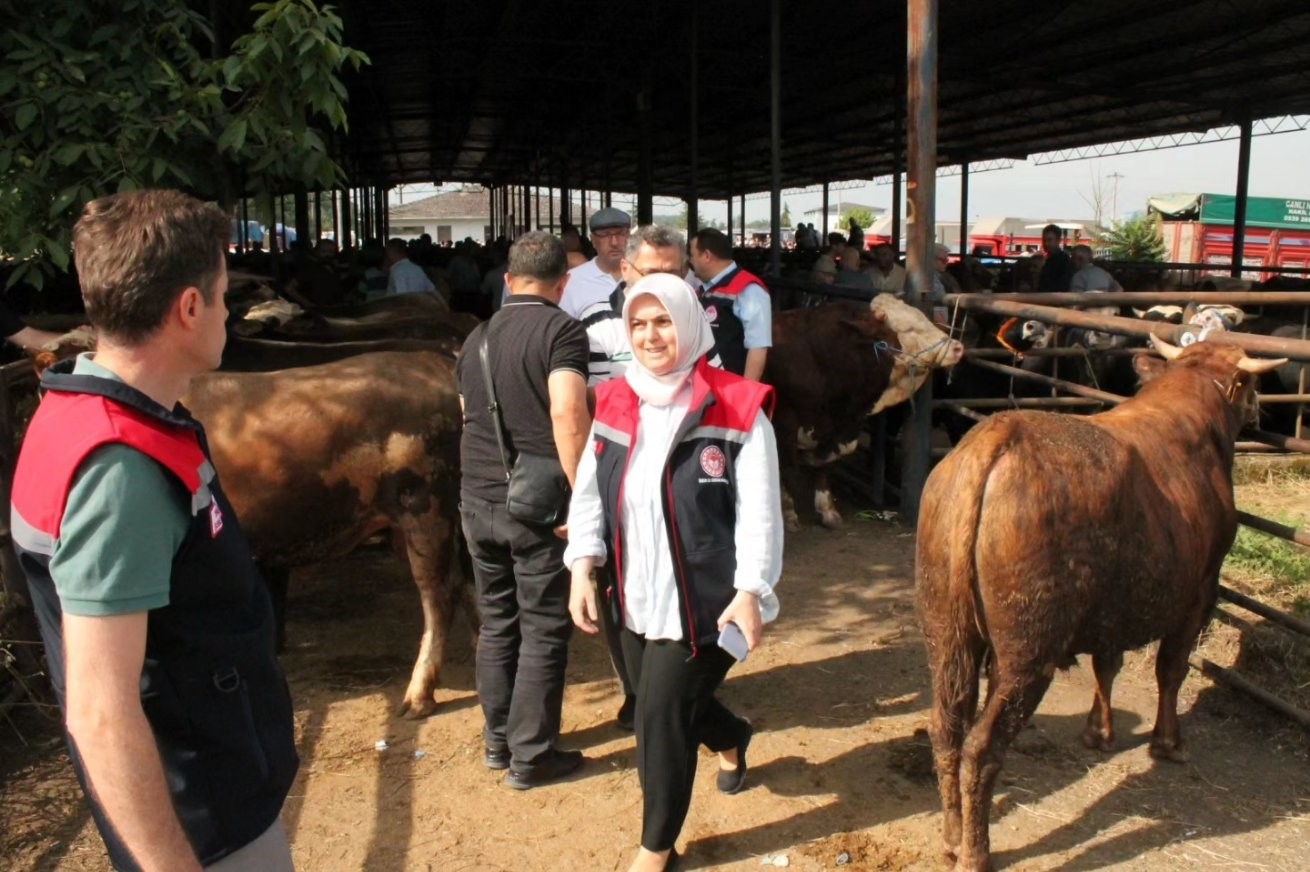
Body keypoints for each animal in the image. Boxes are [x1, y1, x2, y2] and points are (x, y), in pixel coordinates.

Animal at [922, 335, 1289, 864]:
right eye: (1250, 384)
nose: (1261, 410)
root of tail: (997, 438)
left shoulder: (1113, 608)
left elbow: (1106, 665)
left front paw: (1099, 731)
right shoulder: (1198, 593)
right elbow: (1171, 670)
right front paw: (1168, 742)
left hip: (947, 633)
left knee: (946, 727)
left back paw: (952, 837)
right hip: (1026, 654)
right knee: (982, 747)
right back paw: (976, 853)